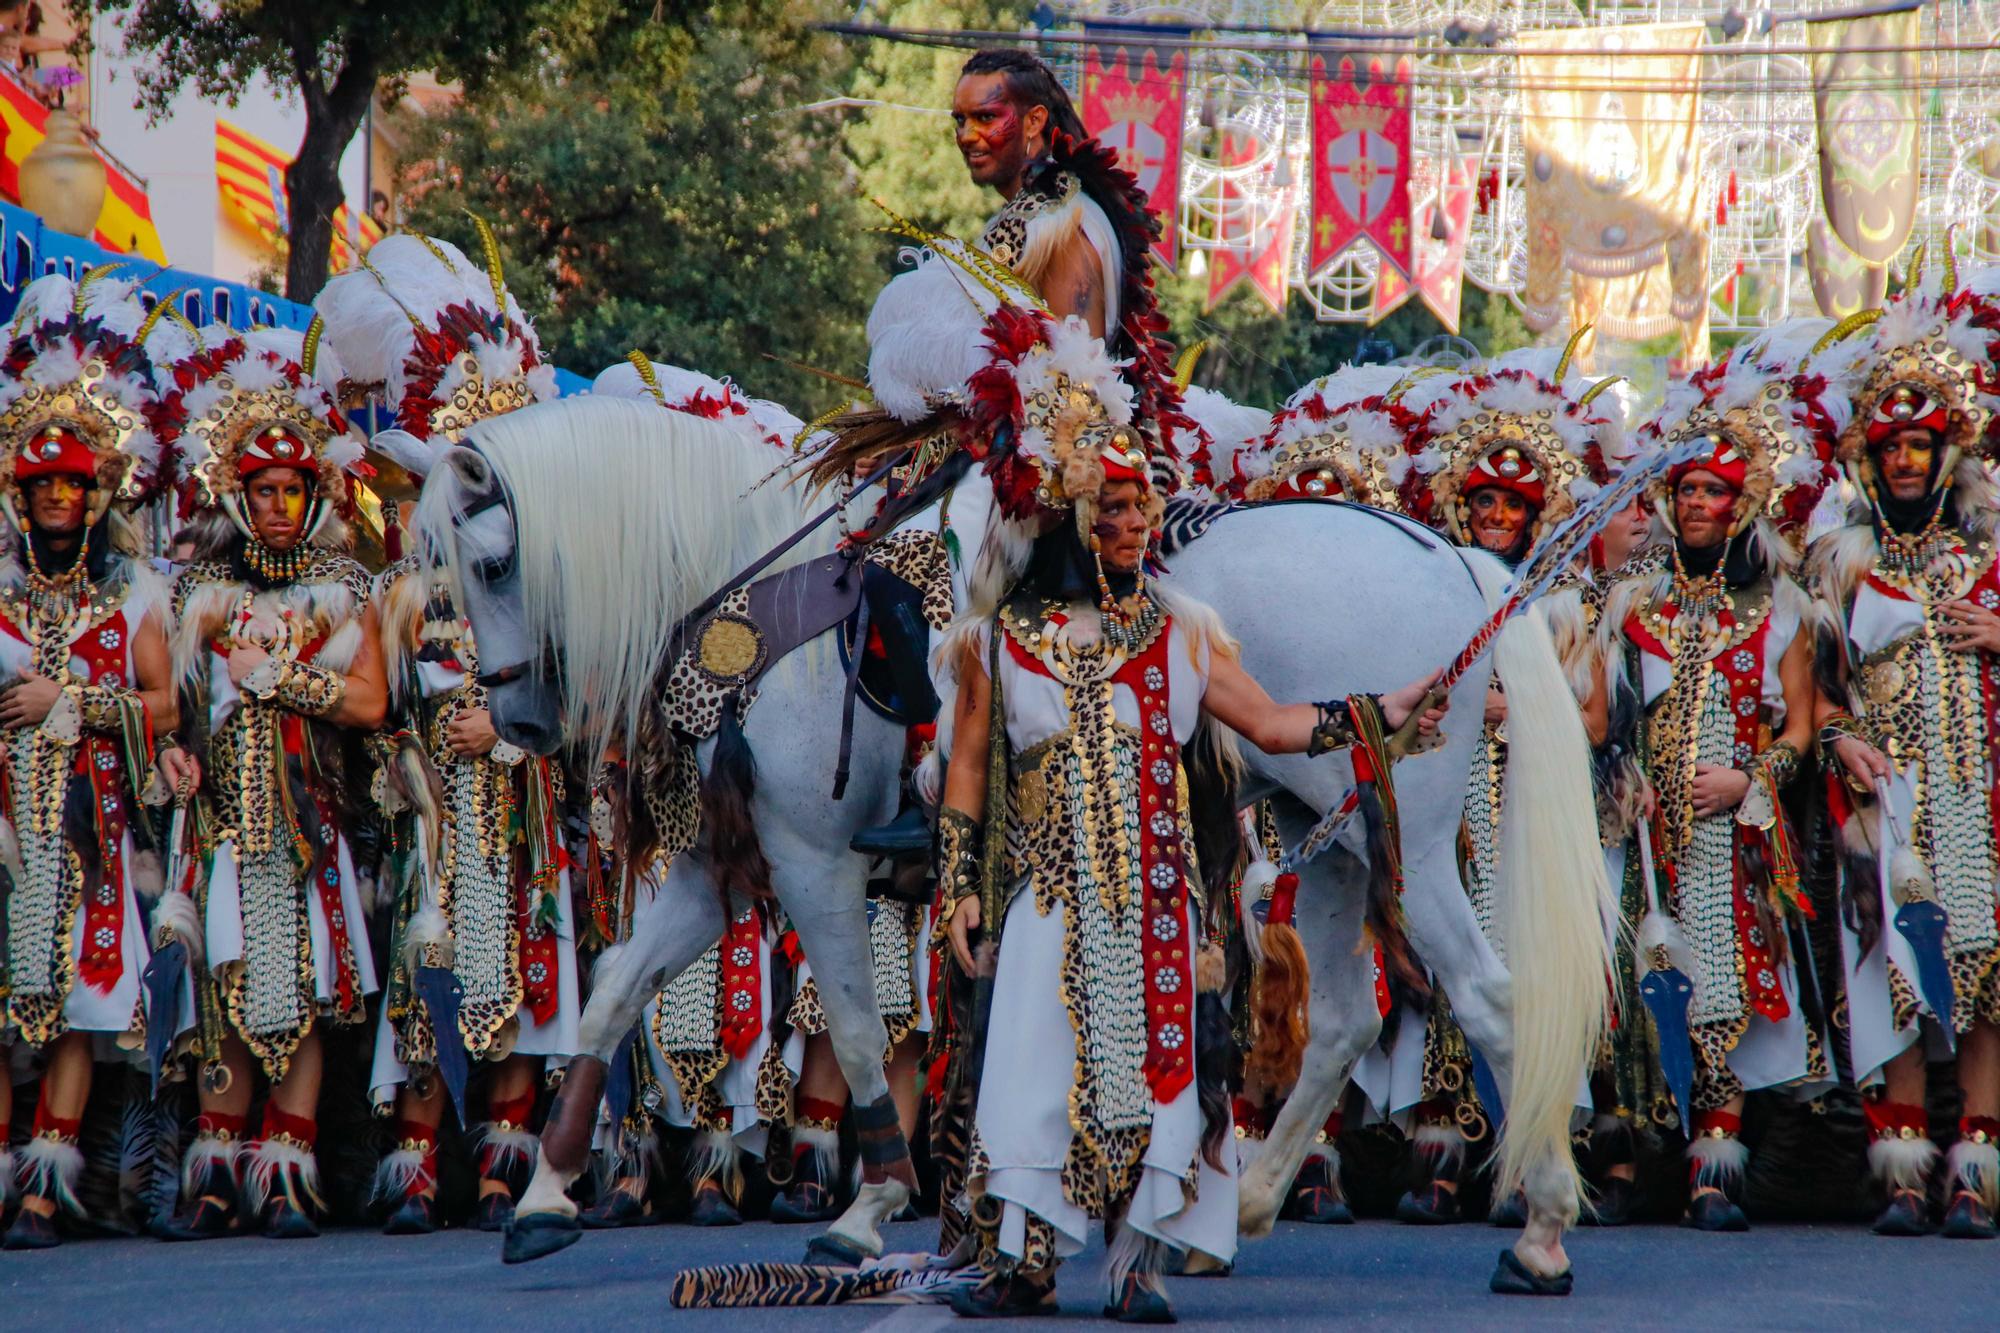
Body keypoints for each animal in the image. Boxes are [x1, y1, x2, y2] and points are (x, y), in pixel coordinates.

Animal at [418, 392, 1608, 1280]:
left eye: (490, 567)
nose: (517, 721)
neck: (759, 597)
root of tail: (1459, 568)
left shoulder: (811, 859)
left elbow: (860, 1034)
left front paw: (868, 1207)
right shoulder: (724, 860)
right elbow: (614, 994)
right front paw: (544, 1195)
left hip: (1407, 835)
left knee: (1491, 998)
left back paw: (1544, 1225)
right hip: (1328, 826)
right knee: (1346, 1019)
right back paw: (1246, 1212)